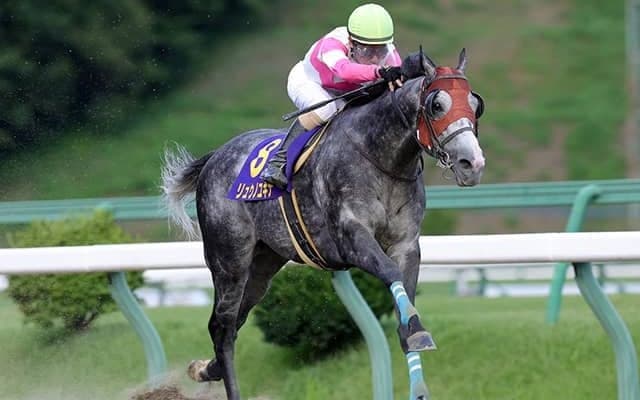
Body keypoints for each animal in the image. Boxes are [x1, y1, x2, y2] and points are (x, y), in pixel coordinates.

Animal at [161, 49, 485, 400]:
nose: (473, 164)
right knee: (221, 327)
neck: (380, 157)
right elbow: (390, 272)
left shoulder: (406, 243)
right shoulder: (350, 237)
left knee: (234, 322)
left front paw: (414, 344)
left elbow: (405, 294)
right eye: (437, 104)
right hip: (229, 261)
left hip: (263, 264)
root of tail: (215, 157)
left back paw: (205, 368)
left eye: (476, 104)